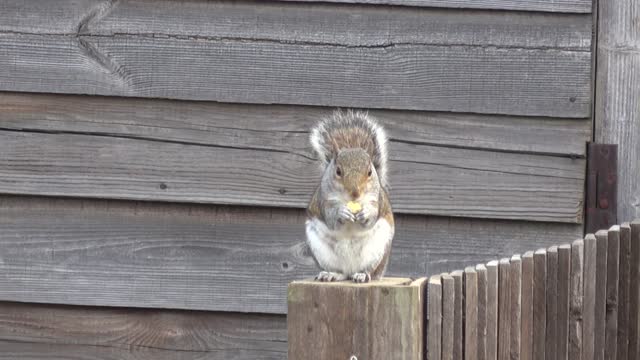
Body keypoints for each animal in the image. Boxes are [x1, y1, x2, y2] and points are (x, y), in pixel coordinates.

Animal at [306, 108, 396, 282]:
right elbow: (331, 218)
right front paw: (341, 212)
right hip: (321, 251)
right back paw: (331, 274)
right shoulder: (324, 200)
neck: (349, 200)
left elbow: (372, 216)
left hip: (377, 250)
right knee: (340, 272)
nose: (355, 192)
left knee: (369, 270)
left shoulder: (377, 200)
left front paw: (365, 213)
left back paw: (362, 274)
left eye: (369, 172)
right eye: (338, 171)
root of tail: (350, 269)